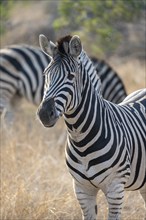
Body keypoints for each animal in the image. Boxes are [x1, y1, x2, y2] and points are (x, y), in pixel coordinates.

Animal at [37, 34, 146, 220]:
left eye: (71, 76)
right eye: (45, 74)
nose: (44, 113)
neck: (81, 140)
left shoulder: (115, 188)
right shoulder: (82, 189)